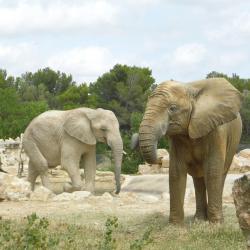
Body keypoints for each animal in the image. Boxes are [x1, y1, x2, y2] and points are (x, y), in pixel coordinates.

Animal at [135, 77, 242, 223]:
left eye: (172, 108)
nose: (160, 158)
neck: (190, 88)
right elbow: (176, 171)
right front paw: (175, 225)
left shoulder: (216, 131)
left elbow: (212, 170)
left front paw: (216, 224)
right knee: (198, 179)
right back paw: (199, 219)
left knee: (220, 174)